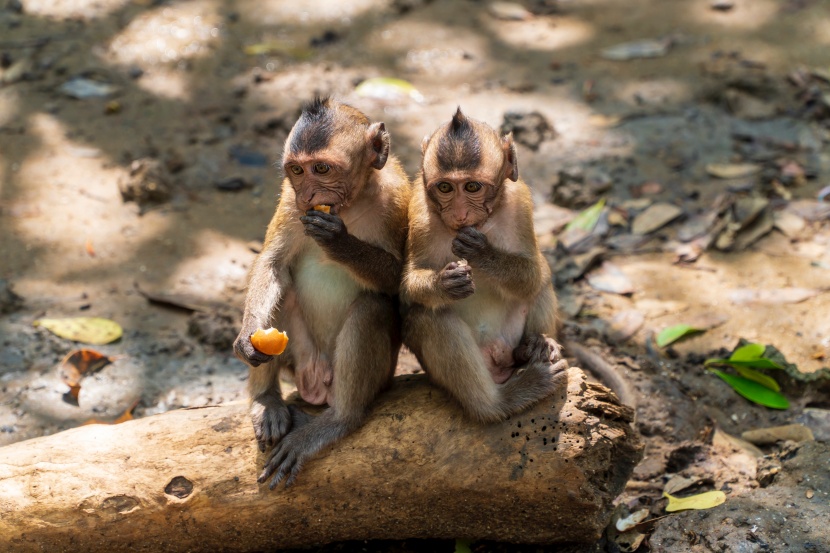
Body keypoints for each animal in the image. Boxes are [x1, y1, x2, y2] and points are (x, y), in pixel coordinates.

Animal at [232, 97, 412, 486]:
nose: (309, 194)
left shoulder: (398, 199)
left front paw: (339, 241)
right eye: (297, 171)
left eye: (323, 168)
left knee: (372, 307)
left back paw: (339, 419)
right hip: (298, 356)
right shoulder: (290, 203)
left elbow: (400, 283)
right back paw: (266, 401)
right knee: (282, 292)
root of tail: (318, 380)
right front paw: (246, 334)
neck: (353, 204)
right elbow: (273, 263)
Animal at [400, 108, 568, 420]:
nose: (459, 213)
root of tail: (497, 357)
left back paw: (534, 346)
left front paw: (482, 252)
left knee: (541, 279)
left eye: (472, 186)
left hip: (509, 336)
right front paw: (446, 283)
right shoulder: (418, 209)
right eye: (445, 187)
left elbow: (532, 272)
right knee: (430, 317)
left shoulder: (520, 200)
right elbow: (406, 288)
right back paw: (501, 401)